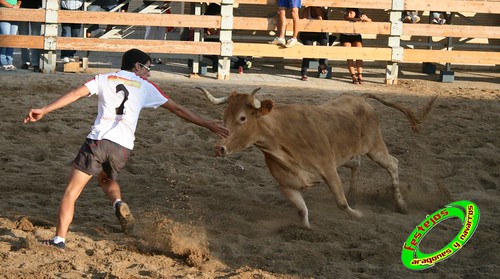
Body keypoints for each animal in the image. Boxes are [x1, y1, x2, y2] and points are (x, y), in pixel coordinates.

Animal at [197, 88, 436, 230]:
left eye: (242, 118)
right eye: (224, 117)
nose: (219, 148)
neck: (281, 138)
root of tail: (360, 98)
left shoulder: (329, 170)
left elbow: (341, 202)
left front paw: (357, 214)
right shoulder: (287, 185)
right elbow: (302, 210)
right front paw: (307, 228)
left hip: (375, 147)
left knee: (393, 164)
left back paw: (401, 204)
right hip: (347, 154)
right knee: (356, 164)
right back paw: (355, 192)